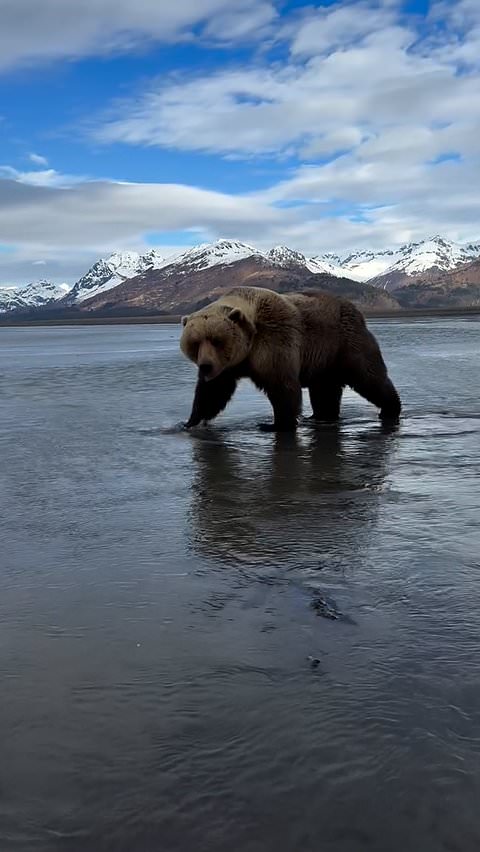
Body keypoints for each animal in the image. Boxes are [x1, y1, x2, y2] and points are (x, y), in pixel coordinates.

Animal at [180, 286, 401, 432]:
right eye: (195, 343)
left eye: (216, 340)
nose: (205, 366)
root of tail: (354, 308)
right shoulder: (228, 365)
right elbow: (213, 392)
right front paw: (189, 422)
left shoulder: (274, 342)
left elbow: (282, 386)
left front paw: (275, 424)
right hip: (324, 361)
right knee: (325, 391)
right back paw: (321, 416)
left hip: (345, 343)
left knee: (368, 377)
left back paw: (391, 409)